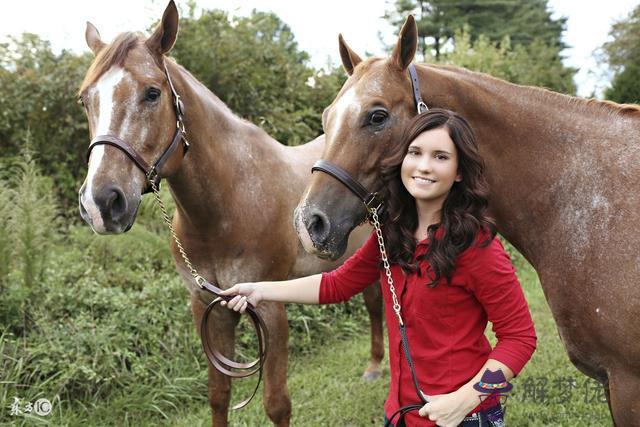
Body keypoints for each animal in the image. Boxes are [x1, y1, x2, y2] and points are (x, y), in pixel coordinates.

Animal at [77, 1, 382, 426]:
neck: (230, 202)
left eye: (152, 93)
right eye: (85, 99)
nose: (101, 203)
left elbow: (276, 403)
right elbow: (218, 394)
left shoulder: (269, 308)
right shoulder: (209, 307)